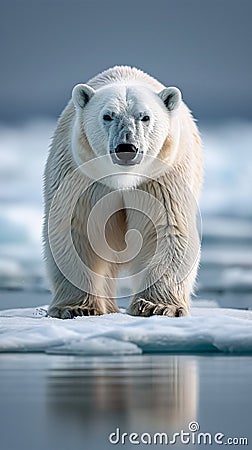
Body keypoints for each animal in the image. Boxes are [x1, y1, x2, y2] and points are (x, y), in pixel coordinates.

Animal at [44, 67, 203, 320]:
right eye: (108, 116)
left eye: (145, 117)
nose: (126, 147)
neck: (123, 179)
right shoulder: (81, 176)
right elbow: (76, 230)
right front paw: (77, 307)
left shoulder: (161, 178)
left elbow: (169, 228)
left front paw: (156, 306)